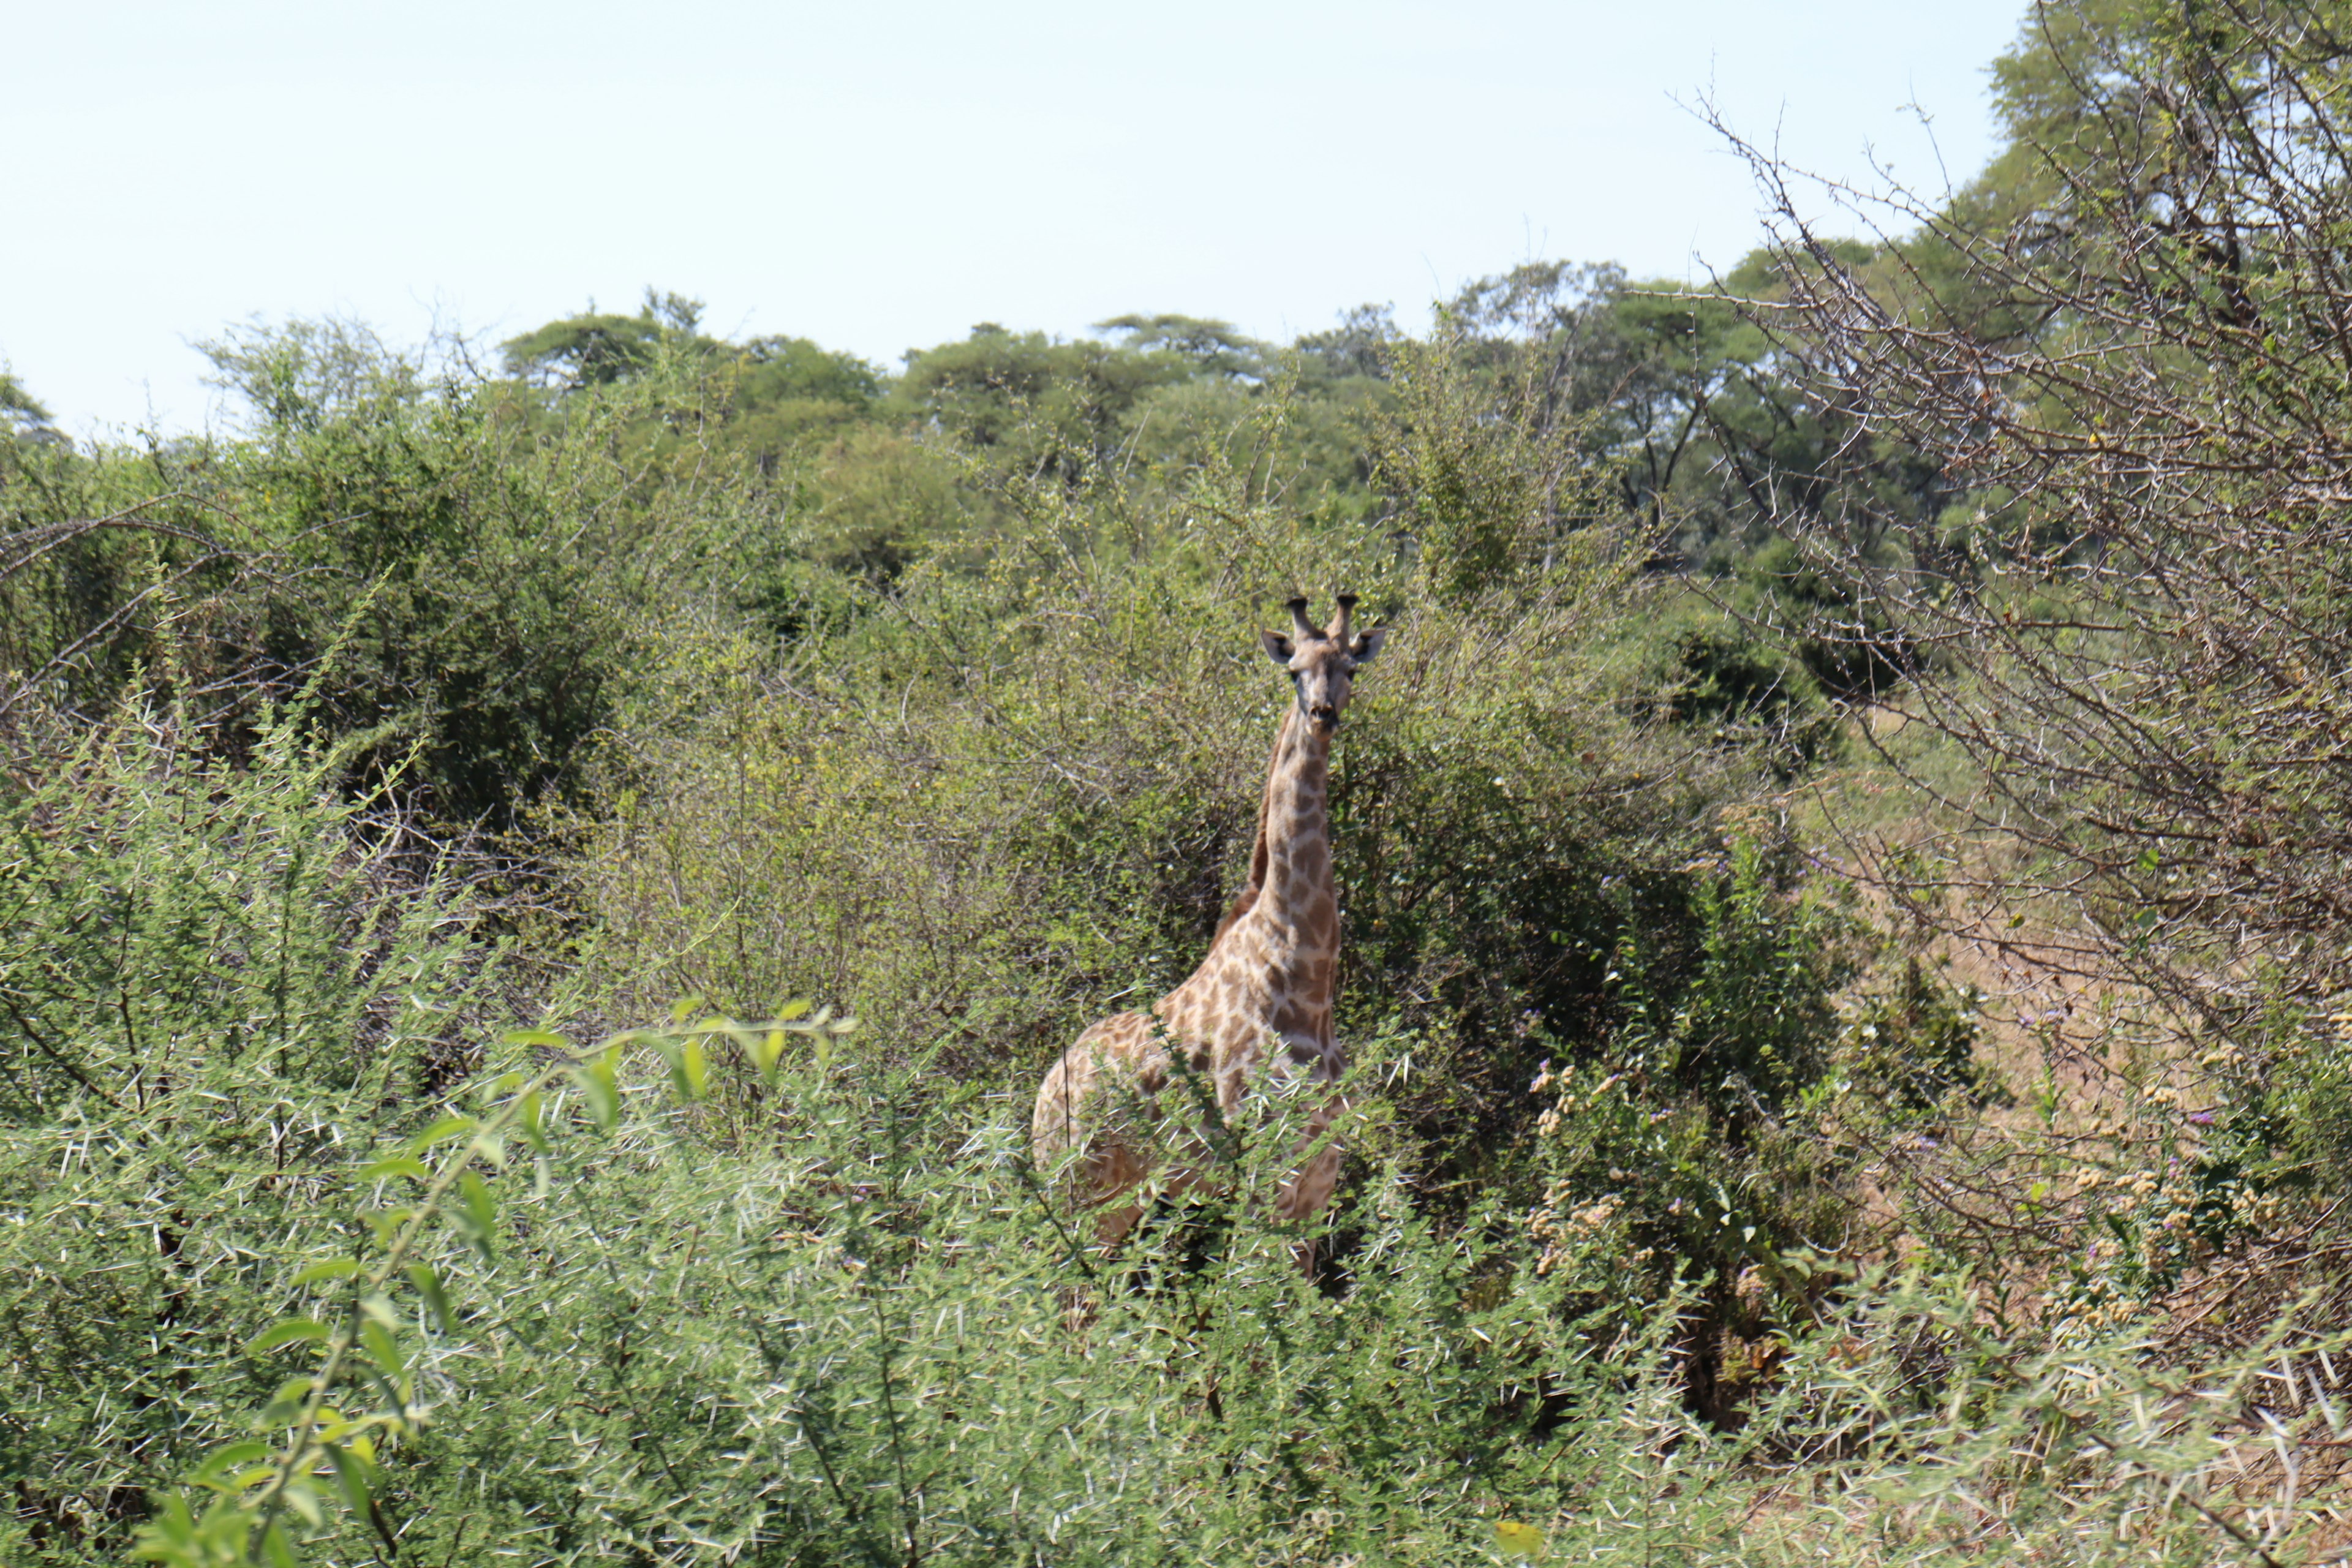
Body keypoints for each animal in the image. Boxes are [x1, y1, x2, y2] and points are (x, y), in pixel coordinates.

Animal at [1025, 595, 1373, 1260]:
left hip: (1125, 1197)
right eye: (1295, 673)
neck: (1306, 978)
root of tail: (1047, 1086)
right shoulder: (1264, 1174)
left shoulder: (1320, 1177)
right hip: (1078, 1189)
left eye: (1350, 669)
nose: (1323, 714)